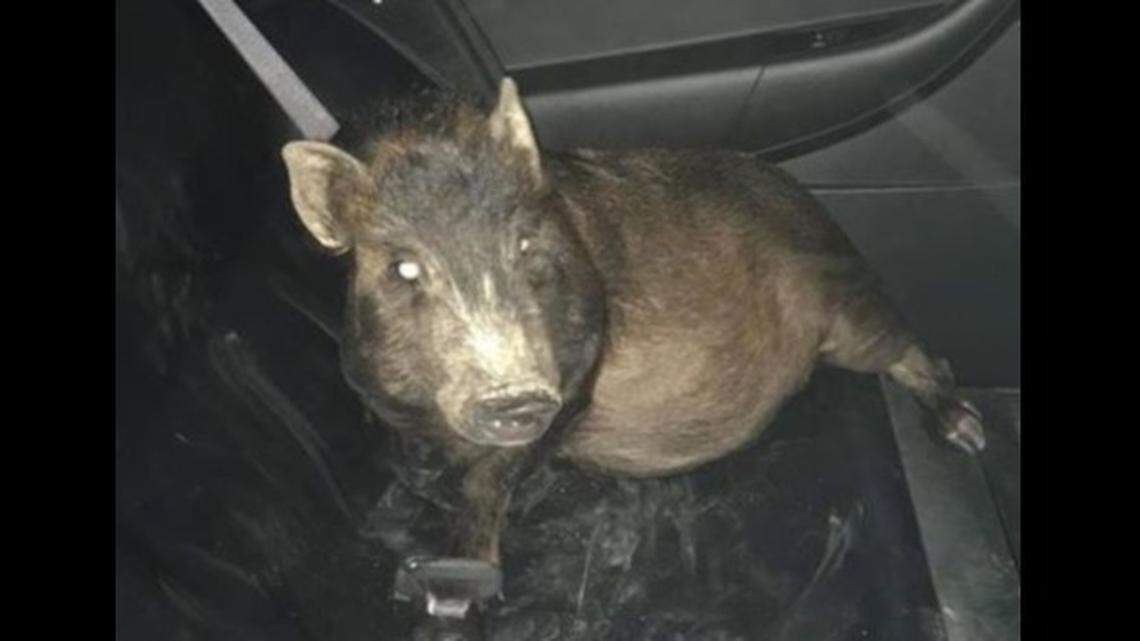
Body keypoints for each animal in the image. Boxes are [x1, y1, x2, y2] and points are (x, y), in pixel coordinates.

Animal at [281, 77, 984, 633]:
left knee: (917, 351)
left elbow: (492, 479)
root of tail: (814, 204)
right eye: (403, 268)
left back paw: (968, 434)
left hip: (848, 309)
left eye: (527, 245)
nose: (516, 394)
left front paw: (459, 593)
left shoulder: (577, 370)